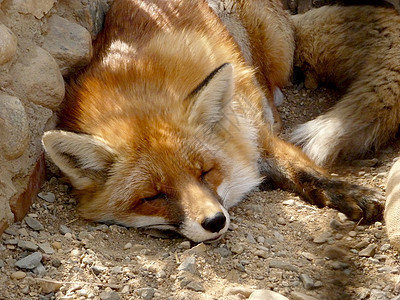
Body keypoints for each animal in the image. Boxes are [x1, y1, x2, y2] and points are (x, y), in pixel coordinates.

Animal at [42, 0, 382, 243]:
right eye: (153, 196)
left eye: (205, 172)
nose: (215, 221)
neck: (137, 91)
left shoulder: (252, 132)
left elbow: (304, 170)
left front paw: (353, 193)